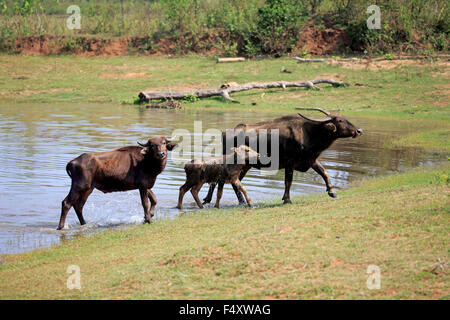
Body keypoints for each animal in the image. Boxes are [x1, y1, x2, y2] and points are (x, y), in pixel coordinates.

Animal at [204, 109, 362, 205]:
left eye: (345, 118)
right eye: (340, 121)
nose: (359, 130)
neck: (309, 133)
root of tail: (225, 132)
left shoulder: (311, 160)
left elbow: (325, 173)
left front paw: (332, 192)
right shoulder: (290, 163)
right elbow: (288, 182)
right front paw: (287, 200)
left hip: (245, 166)